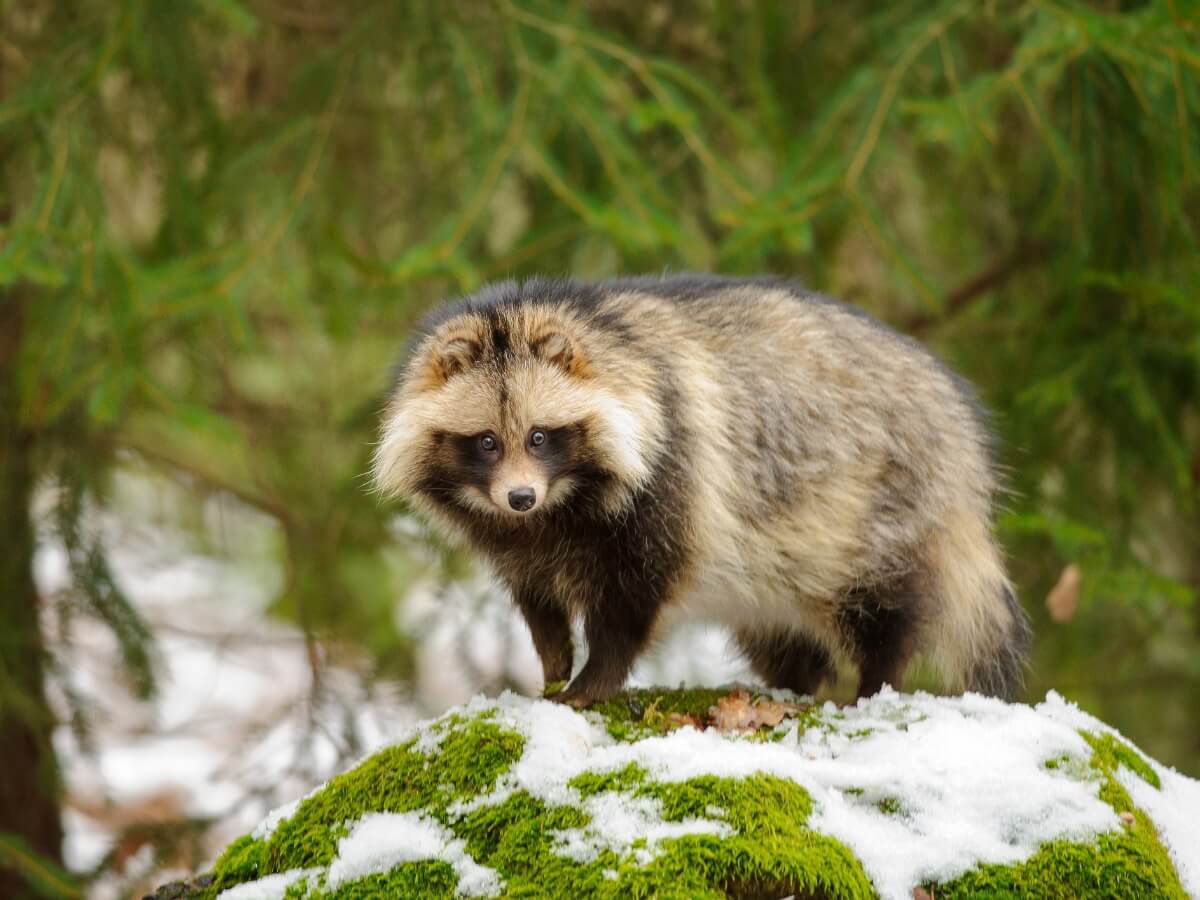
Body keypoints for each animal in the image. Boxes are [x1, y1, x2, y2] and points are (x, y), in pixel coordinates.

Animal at [373, 275, 1031, 707]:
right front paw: (554, 662)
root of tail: (960, 429)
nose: (519, 498)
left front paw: (594, 677)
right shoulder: (514, 539)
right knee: (782, 634)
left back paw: (876, 682)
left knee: (885, 607)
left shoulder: (672, 471)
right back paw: (793, 683)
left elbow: (634, 596)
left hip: (881, 504)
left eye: (539, 436)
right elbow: (538, 600)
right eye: (486, 442)